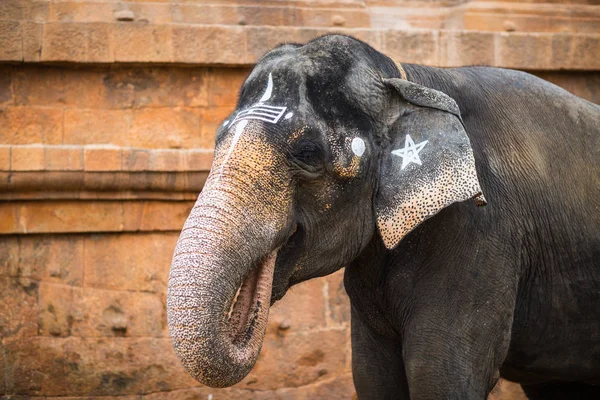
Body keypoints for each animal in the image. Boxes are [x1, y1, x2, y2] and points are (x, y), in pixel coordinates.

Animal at [166, 35, 600, 400]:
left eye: (307, 152)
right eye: (217, 140)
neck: (404, 81)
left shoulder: (483, 232)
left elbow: (440, 376)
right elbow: (373, 376)